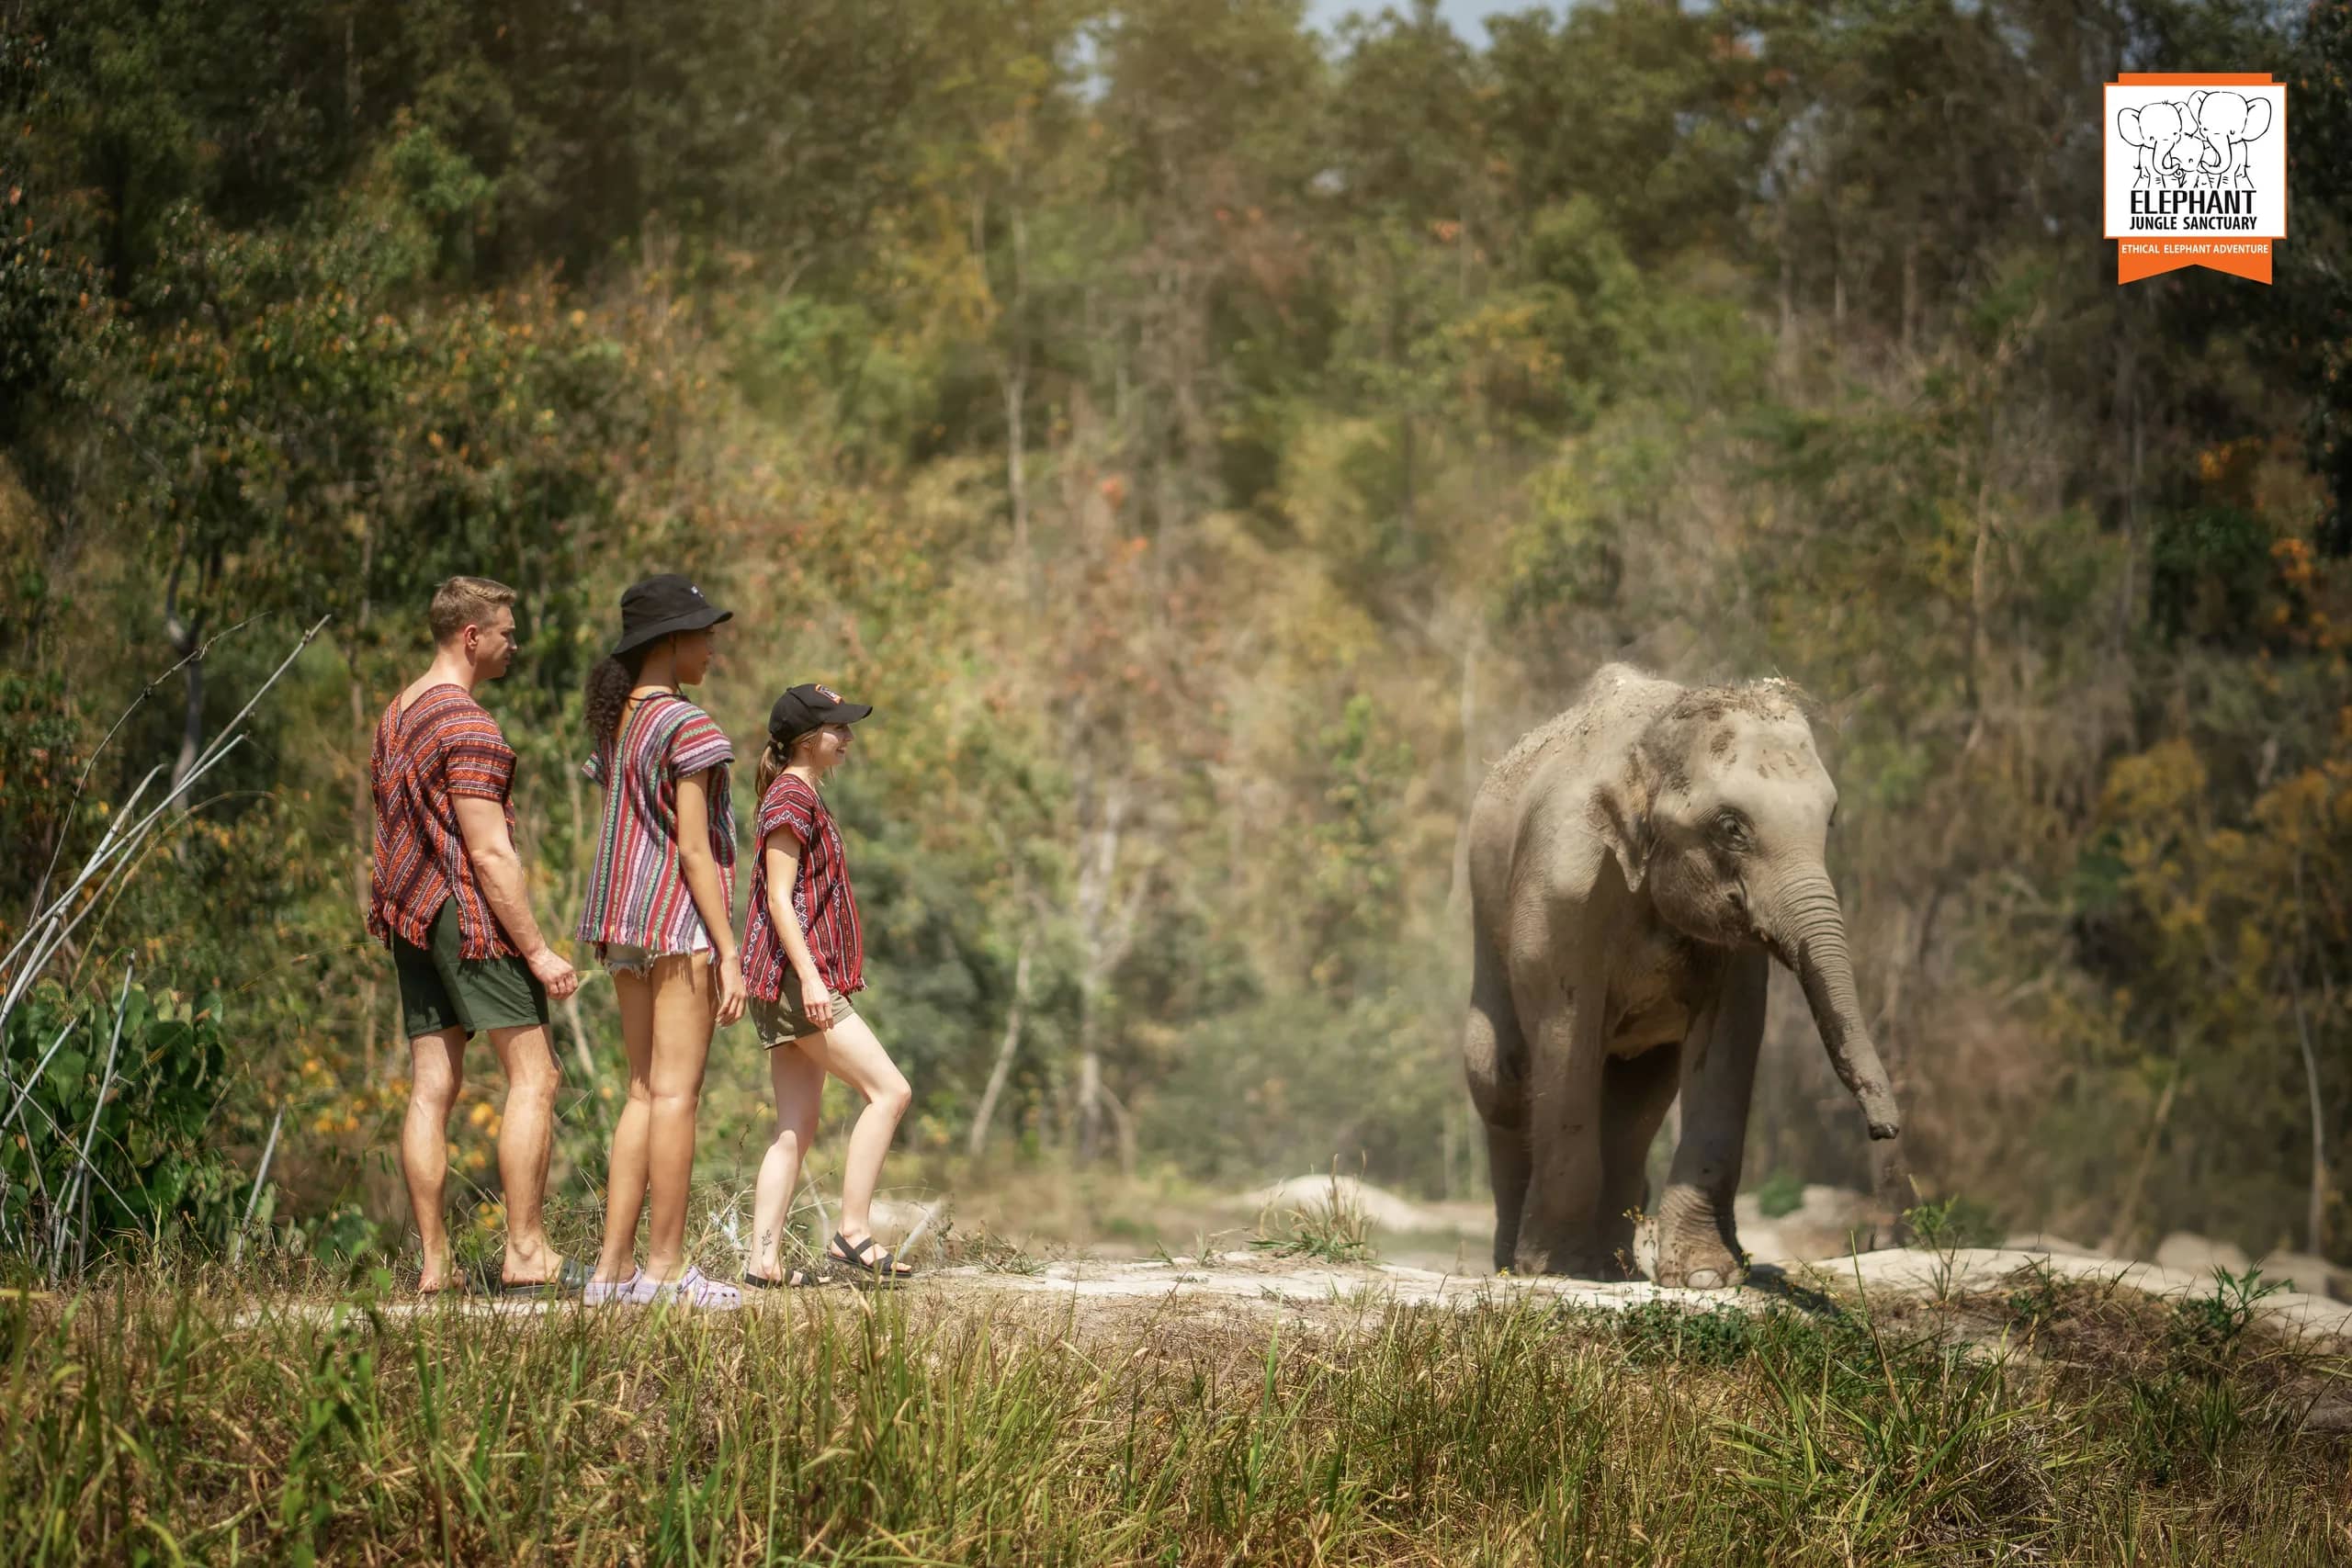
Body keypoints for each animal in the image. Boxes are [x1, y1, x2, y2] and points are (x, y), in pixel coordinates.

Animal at [1460, 664, 1900, 1286]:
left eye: (1830, 819)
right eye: (1731, 826)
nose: (1884, 1130)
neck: (1648, 748)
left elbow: (1729, 1043)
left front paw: (1707, 1276)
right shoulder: (1562, 887)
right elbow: (1565, 1039)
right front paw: (1554, 1270)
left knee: (1636, 1101)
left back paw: (1614, 1270)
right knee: (1502, 1077)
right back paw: (1518, 1266)